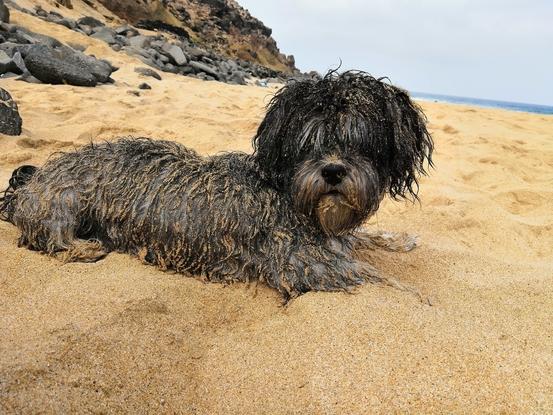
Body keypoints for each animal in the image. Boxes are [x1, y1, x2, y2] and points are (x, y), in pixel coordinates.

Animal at [0, 70, 432, 300]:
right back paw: (86, 247)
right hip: (65, 201)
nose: (333, 172)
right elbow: (385, 282)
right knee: (47, 237)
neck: (291, 196)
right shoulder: (308, 267)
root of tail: (31, 180)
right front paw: (423, 300)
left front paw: (399, 239)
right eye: (308, 141)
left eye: (360, 141)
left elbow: (364, 240)